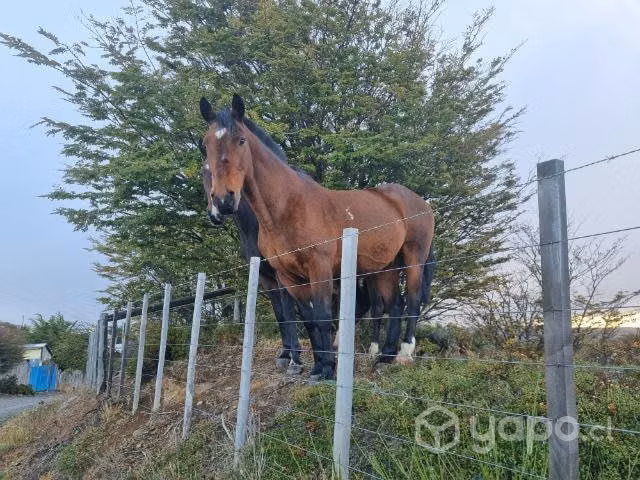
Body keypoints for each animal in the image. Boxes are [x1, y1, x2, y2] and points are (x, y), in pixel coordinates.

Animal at [199, 94, 435, 379]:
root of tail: (420, 202)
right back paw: (384, 357)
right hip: (385, 268)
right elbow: (307, 319)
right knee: (395, 304)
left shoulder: (318, 269)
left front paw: (327, 370)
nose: (223, 202)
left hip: (413, 258)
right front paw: (317, 366)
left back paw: (404, 353)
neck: (288, 206)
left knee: (412, 300)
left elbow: (322, 317)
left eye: (241, 140)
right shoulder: (287, 277)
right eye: (206, 145)